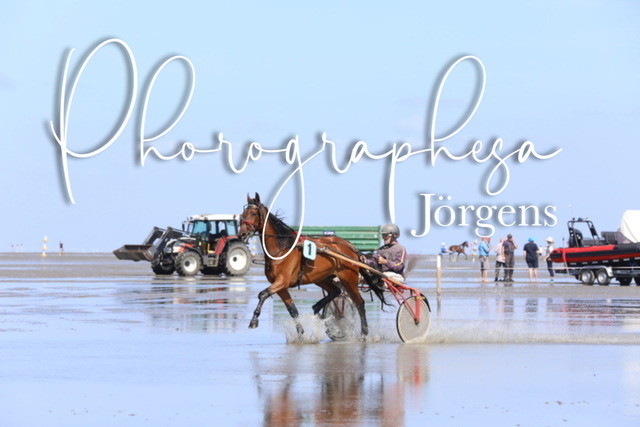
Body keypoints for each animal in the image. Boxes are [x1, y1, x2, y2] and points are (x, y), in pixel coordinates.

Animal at [238, 193, 386, 338]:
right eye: (242, 214)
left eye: (254, 213)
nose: (242, 234)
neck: (282, 249)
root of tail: (350, 246)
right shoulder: (280, 286)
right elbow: (292, 310)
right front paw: (300, 334)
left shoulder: (282, 281)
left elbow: (262, 294)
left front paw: (254, 320)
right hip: (322, 278)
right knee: (335, 291)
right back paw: (317, 307)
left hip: (348, 279)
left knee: (359, 303)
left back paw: (364, 332)